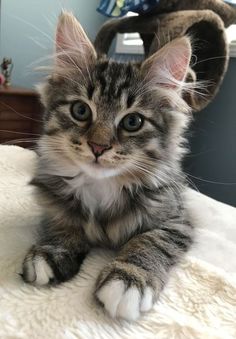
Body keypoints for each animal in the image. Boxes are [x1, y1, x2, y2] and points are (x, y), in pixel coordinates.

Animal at [22, 12, 195, 322]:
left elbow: (151, 240)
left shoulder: (178, 220)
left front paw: (129, 280)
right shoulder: (52, 200)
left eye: (132, 122)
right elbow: (62, 221)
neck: (102, 187)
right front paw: (52, 250)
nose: (98, 147)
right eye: (80, 111)